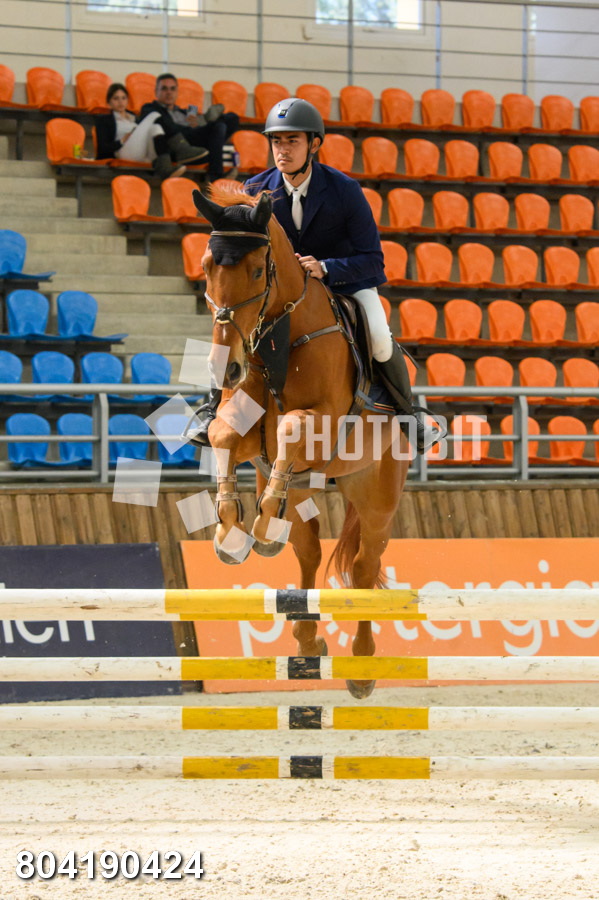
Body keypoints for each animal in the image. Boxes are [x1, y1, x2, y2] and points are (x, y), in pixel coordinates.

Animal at [193, 186, 411, 698]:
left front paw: (248, 525)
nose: (226, 368)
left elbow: (291, 427)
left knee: (366, 566)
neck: (278, 338)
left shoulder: (322, 426)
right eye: (207, 266)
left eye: (257, 270)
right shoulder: (249, 435)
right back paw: (307, 636)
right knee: (308, 553)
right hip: (305, 487)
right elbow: (223, 433)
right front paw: (230, 532)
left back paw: (362, 667)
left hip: (376, 494)